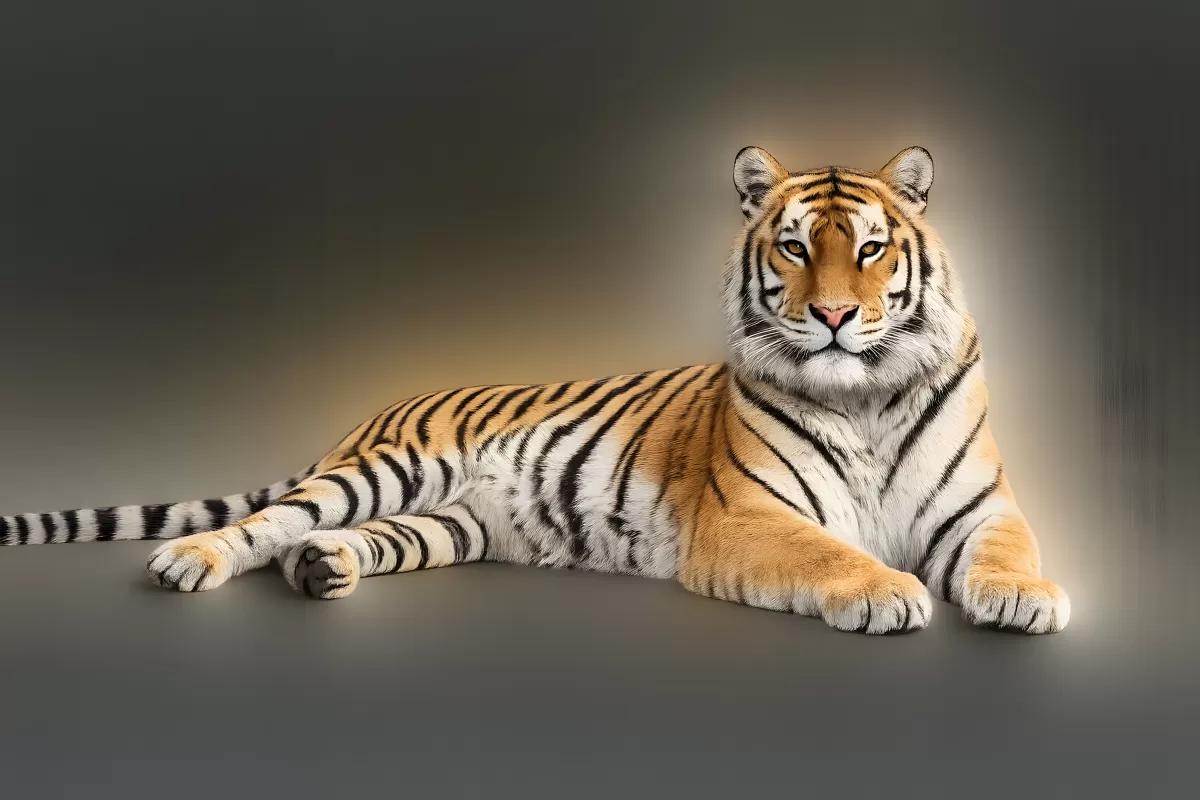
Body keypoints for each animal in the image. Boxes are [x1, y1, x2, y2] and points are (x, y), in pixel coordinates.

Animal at [0, 145, 1070, 634]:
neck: (865, 394)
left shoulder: (981, 505)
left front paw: (1029, 598)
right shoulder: (750, 517)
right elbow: (830, 553)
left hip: (447, 522)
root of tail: (370, 411)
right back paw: (187, 562)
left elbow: (1010, 548)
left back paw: (322, 569)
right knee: (264, 523)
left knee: (334, 541)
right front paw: (889, 592)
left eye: (873, 249)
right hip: (379, 474)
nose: (840, 315)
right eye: (797, 248)